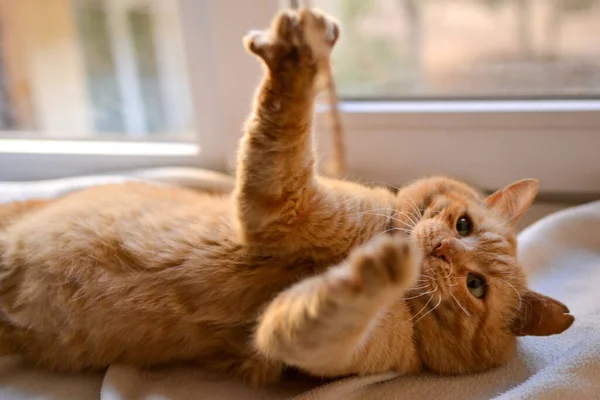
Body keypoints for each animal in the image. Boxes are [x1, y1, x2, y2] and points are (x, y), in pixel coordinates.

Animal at [0, 8, 576, 384]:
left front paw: (369, 277)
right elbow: (288, 123)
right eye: (463, 226)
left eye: (476, 286)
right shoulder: (290, 206)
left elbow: (321, 312)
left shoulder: (306, 336)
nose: (439, 250)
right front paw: (304, 53)